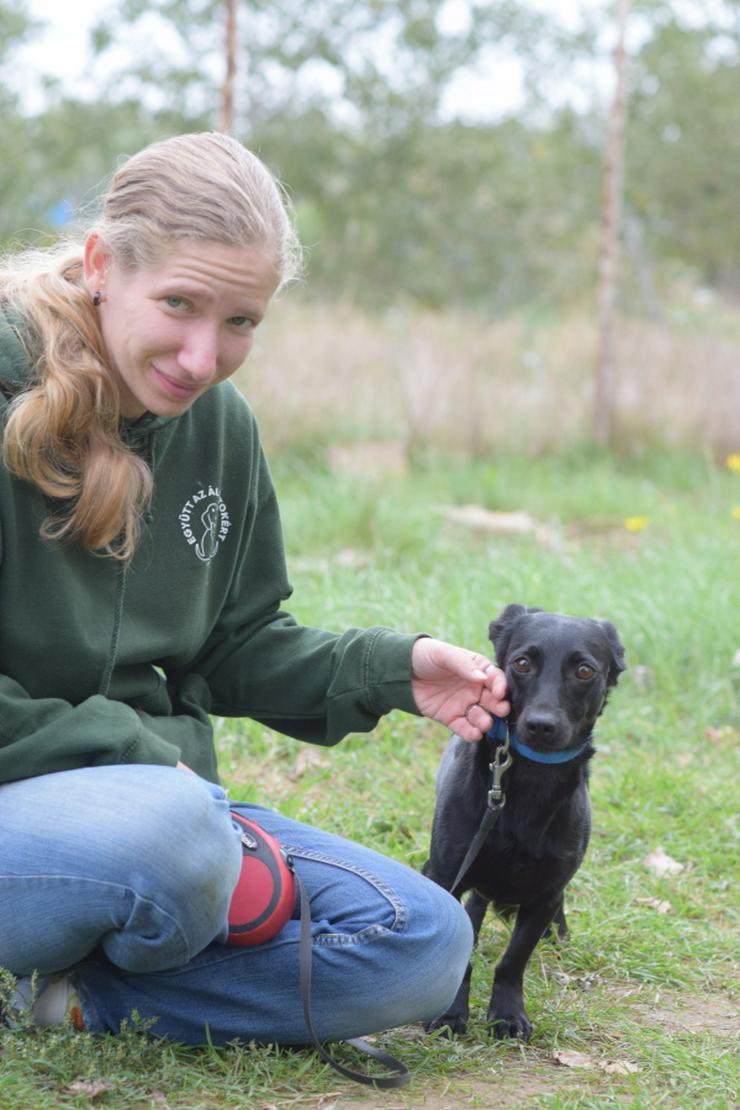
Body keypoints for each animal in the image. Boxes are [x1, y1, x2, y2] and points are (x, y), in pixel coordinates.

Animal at [421, 603, 625, 1034]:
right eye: (522, 663)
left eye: (585, 671)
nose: (541, 725)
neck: (531, 779)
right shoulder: (445, 873)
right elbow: (459, 952)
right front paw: (450, 1012)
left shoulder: (545, 893)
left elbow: (514, 959)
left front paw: (508, 1013)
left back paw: (559, 937)